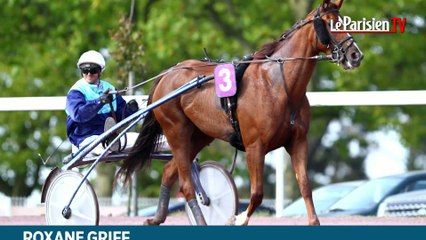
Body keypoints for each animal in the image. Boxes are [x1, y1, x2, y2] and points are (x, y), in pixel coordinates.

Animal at [117, 0, 362, 225]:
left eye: (344, 21)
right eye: (330, 23)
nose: (355, 55)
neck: (278, 85)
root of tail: (168, 73)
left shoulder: (298, 141)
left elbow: (305, 185)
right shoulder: (255, 146)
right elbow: (257, 193)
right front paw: (238, 218)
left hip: (200, 134)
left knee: (169, 171)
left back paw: (157, 218)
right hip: (176, 130)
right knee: (186, 186)